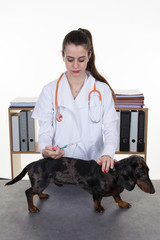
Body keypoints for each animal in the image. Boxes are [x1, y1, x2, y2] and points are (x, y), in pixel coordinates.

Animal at [5, 155, 155, 213]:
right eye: (142, 175)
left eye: (148, 171)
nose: (154, 191)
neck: (113, 174)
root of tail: (33, 163)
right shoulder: (97, 192)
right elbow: (97, 201)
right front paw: (98, 208)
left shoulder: (116, 191)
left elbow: (117, 197)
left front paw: (122, 203)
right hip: (40, 183)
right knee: (29, 192)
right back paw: (32, 208)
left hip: (42, 183)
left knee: (34, 192)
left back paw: (41, 196)